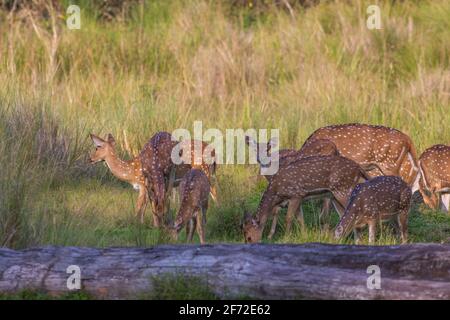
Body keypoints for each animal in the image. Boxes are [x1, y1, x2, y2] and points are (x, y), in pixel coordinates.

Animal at [241, 155, 370, 242]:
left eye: (249, 237)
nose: (250, 242)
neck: (277, 192)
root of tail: (359, 168)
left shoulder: (296, 194)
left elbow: (289, 218)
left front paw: (286, 238)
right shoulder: (299, 198)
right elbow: (300, 219)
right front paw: (304, 236)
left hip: (343, 189)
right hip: (334, 195)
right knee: (344, 214)